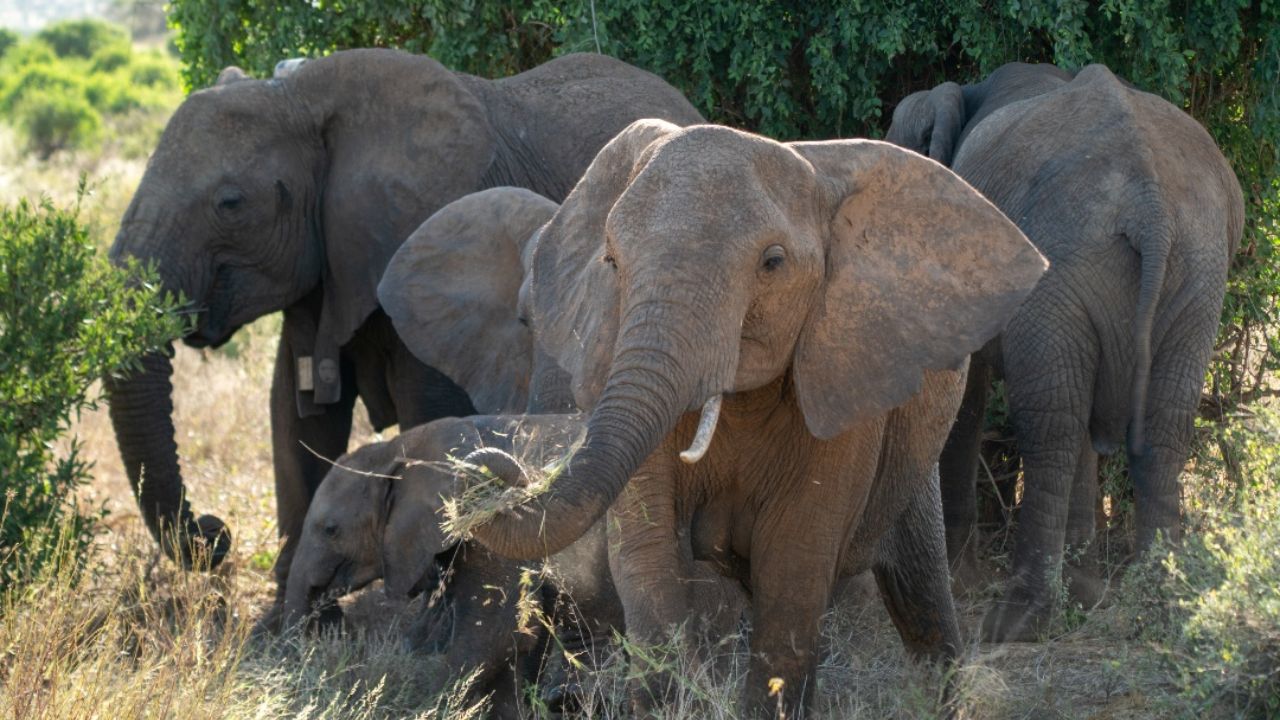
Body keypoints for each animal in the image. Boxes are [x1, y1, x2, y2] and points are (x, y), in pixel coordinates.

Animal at [459, 119, 1047, 718]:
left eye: (773, 263)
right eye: (612, 263)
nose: (483, 468)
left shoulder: (842, 375)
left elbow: (792, 568)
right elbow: (647, 555)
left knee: (922, 593)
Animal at [886, 63, 1244, 641]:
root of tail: (1150, 205)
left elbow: (968, 397)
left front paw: (965, 582)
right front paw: (1085, 593)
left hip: (1068, 265)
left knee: (1051, 426)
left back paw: (1016, 623)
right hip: (1198, 269)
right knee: (1157, 424)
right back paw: (1158, 607)